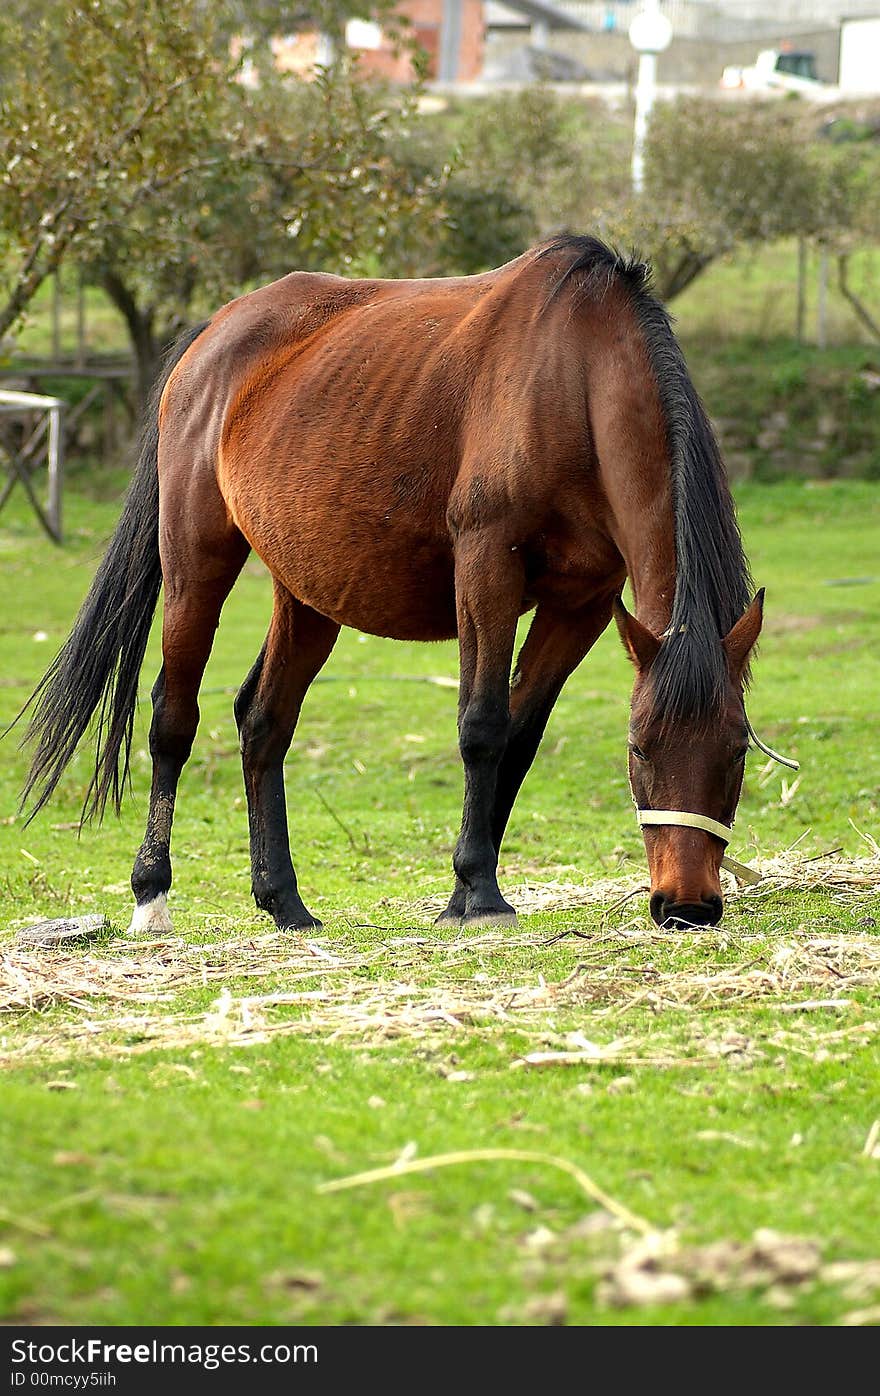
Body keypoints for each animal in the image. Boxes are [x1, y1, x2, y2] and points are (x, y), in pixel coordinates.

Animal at [18, 237, 765, 938]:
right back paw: (152, 894)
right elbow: (483, 725)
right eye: (639, 748)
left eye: (736, 750)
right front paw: (478, 893)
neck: (574, 381)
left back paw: (283, 900)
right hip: (196, 566)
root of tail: (212, 337)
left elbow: (520, 736)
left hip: (308, 594)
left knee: (263, 720)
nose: (687, 906)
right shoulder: (487, 567)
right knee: (173, 717)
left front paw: (466, 888)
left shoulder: (578, 606)